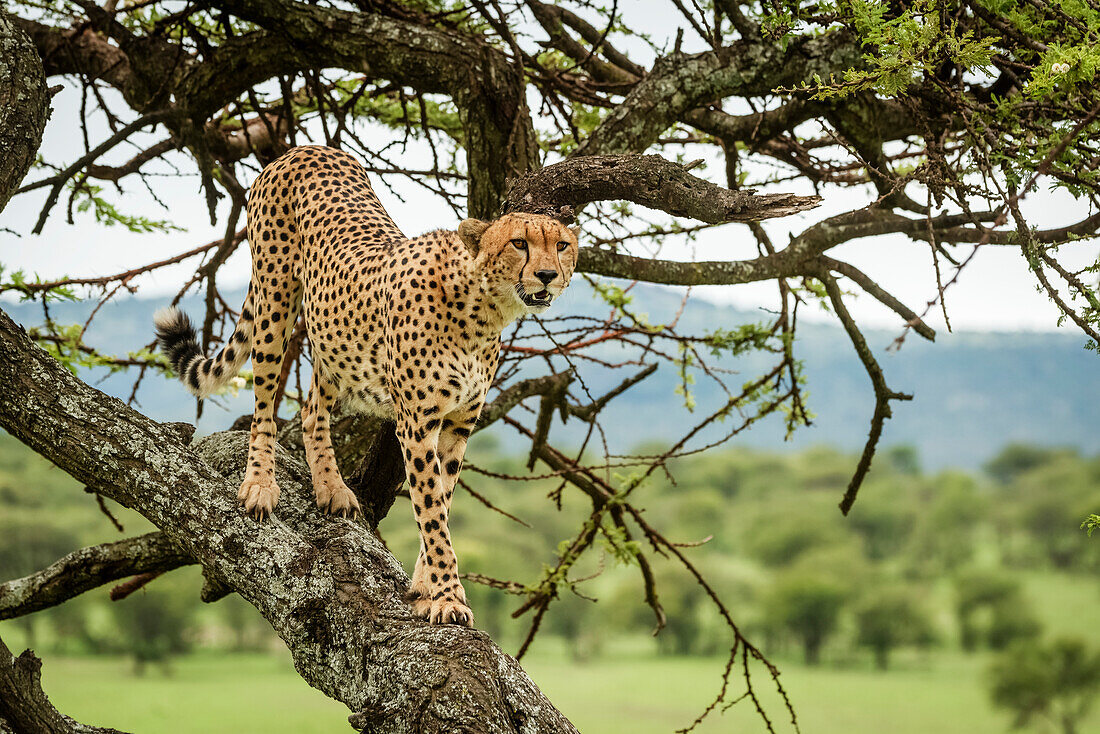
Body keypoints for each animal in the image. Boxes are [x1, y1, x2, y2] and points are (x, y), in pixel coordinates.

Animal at [158, 145, 580, 625]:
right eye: (519, 243)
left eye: (561, 245)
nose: (547, 275)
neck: (484, 310)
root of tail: (304, 149)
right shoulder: (417, 425)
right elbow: (432, 512)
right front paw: (448, 597)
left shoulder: (458, 424)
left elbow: (443, 502)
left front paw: (425, 588)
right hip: (275, 299)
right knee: (265, 404)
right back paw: (260, 485)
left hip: (334, 342)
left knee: (311, 410)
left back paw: (331, 487)